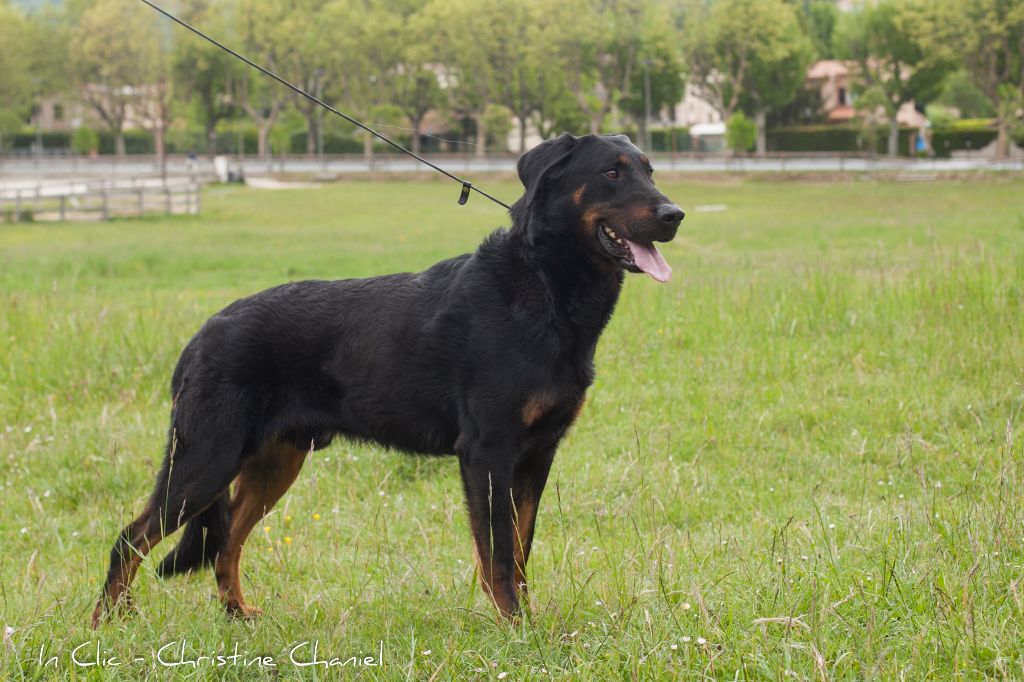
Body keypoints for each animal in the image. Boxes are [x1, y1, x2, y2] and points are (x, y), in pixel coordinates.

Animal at [91, 133, 683, 626]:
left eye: (650, 171)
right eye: (611, 172)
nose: (674, 214)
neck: (544, 284)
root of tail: (200, 336)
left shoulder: (537, 455)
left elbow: (519, 549)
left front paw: (525, 619)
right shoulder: (487, 452)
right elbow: (496, 553)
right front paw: (516, 627)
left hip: (272, 464)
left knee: (226, 540)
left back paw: (237, 614)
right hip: (206, 459)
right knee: (130, 538)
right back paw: (109, 626)